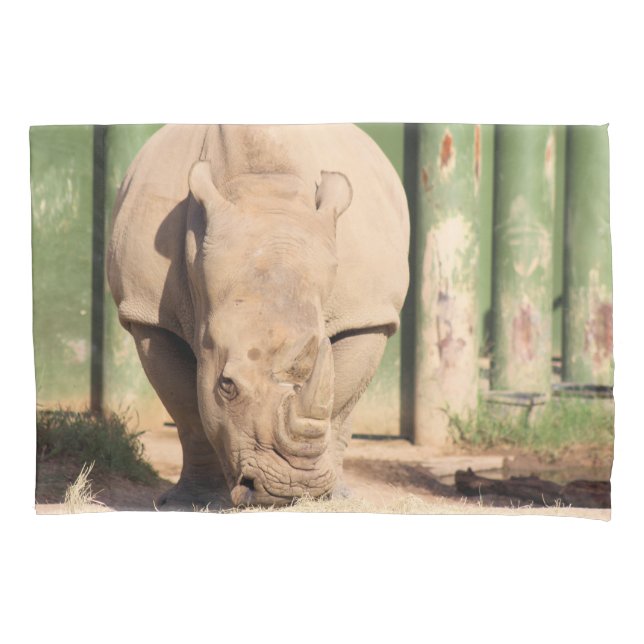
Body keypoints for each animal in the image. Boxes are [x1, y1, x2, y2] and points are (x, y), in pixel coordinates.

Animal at [107, 124, 409, 507]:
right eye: (226, 386)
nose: (291, 490)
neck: (264, 188)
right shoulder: (149, 315)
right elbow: (187, 412)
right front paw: (191, 502)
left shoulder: (367, 314)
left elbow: (339, 406)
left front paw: (329, 498)